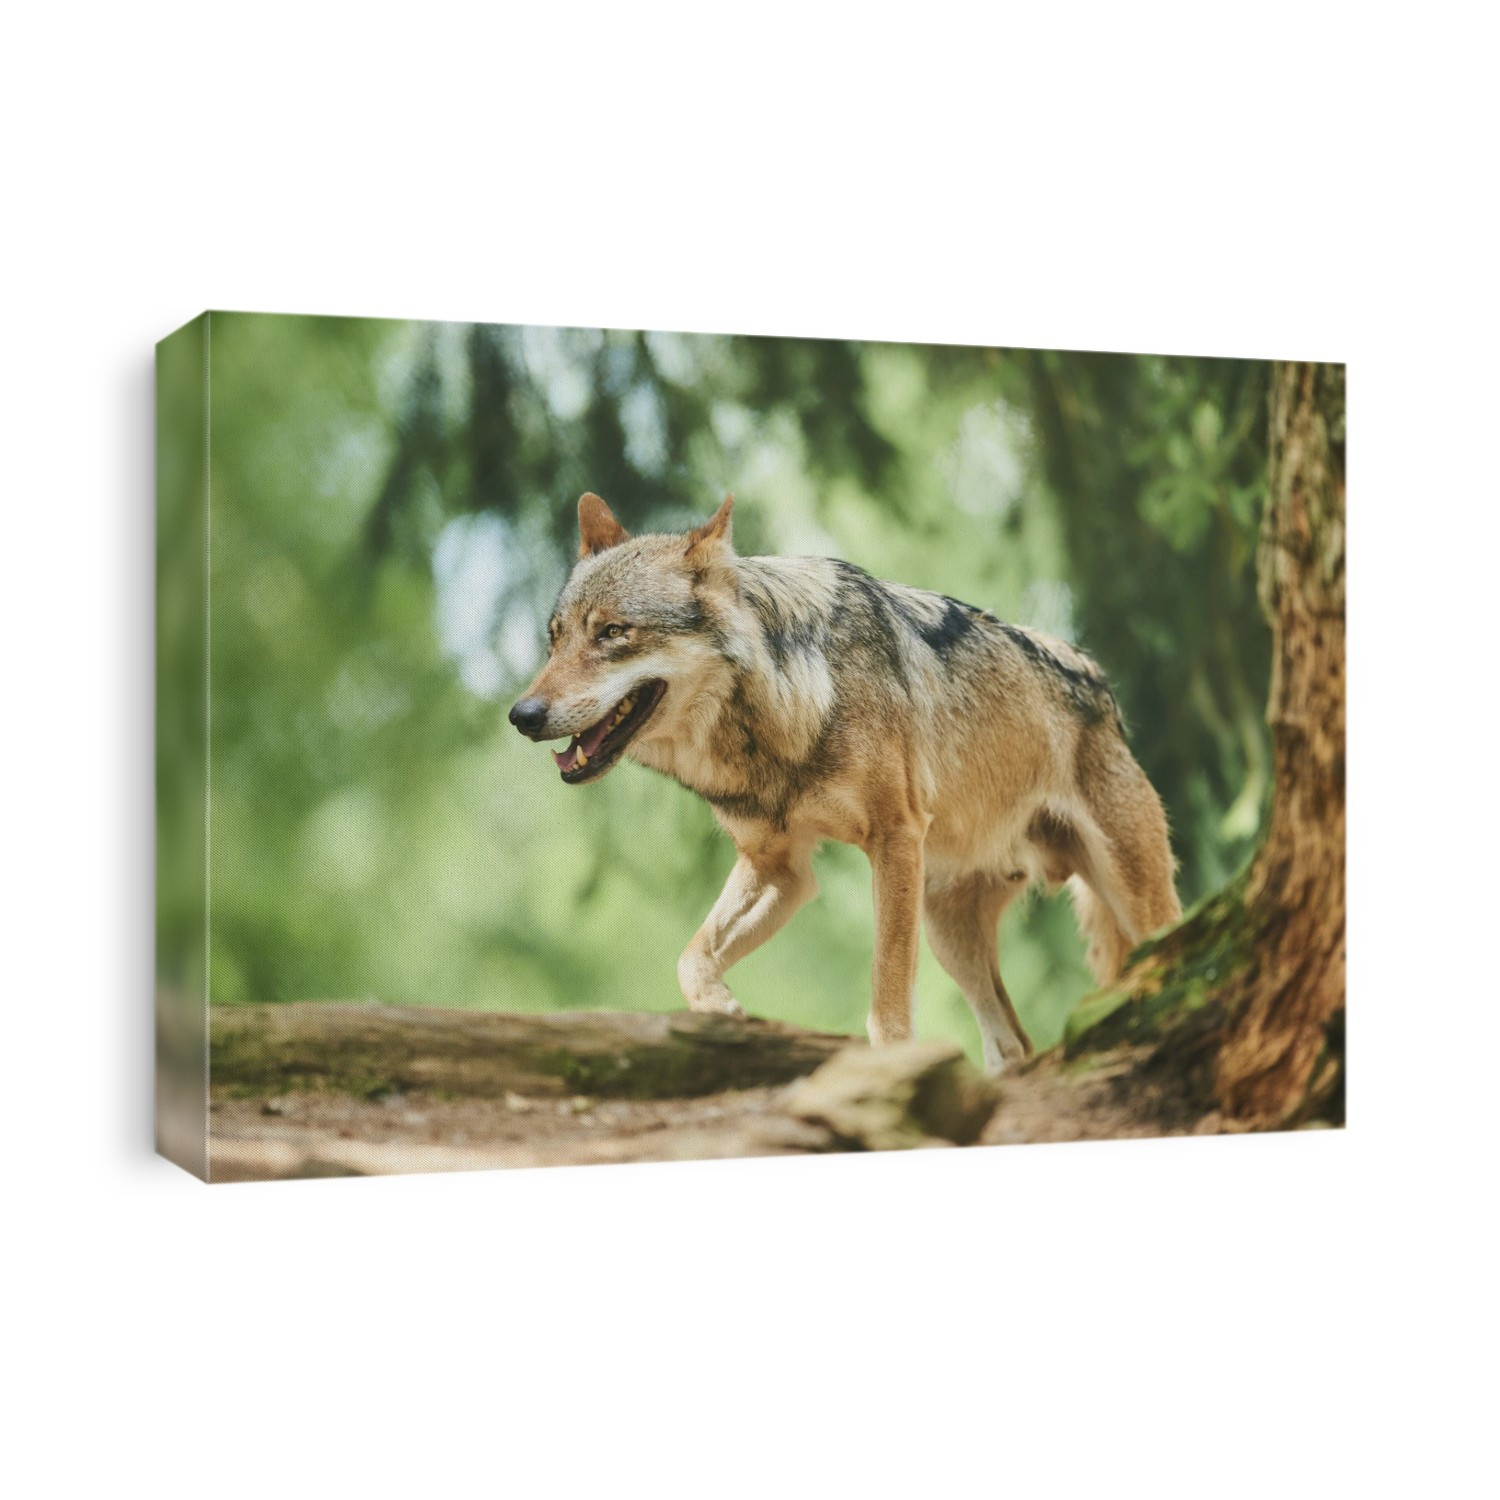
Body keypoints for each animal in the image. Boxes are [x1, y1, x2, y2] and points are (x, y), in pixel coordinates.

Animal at [508, 492, 1181, 1073]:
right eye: (555, 637)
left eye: (613, 633)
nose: (522, 715)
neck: (790, 707)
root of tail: (1099, 682)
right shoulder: (780, 868)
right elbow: (690, 957)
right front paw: (724, 1012)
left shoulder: (895, 839)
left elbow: (887, 1003)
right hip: (948, 933)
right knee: (1013, 1044)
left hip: (1129, 899)